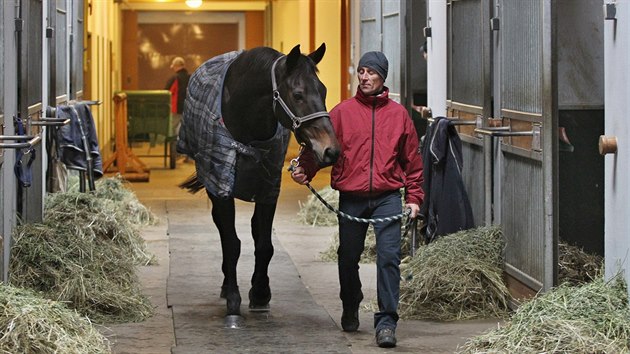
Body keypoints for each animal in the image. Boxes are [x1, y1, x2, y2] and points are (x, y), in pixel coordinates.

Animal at [178, 43, 340, 318]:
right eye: (298, 94)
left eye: (324, 91)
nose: (331, 151)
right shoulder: (220, 184)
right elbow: (231, 242)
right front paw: (234, 298)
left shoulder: (268, 185)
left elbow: (264, 243)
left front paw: (261, 293)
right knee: (222, 228)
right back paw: (226, 285)